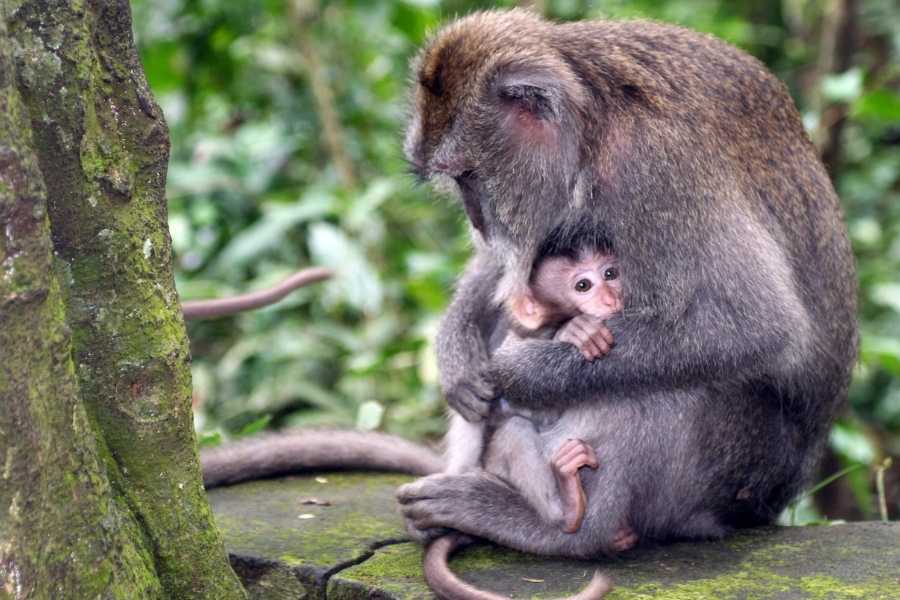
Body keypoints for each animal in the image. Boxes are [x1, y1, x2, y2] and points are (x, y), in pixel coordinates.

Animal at [396, 8, 856, 564]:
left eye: (469, 175)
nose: (477, 221)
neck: (593, 125)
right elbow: (513, 269)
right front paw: (458, 351)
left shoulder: (657, 173)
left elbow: (756, 327)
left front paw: (521, 371)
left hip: (739, 474)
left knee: (670, 386)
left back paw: (565, 527)